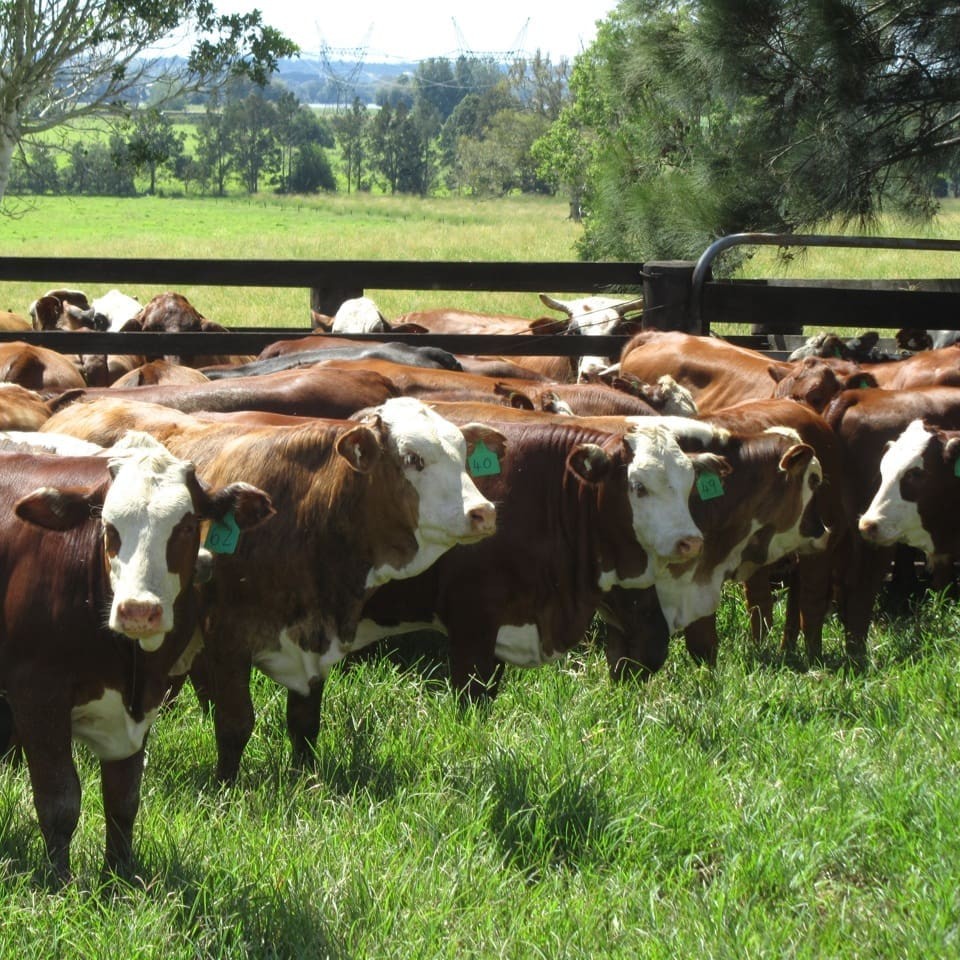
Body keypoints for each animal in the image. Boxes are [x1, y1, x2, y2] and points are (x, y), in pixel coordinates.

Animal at [0, 432, 278, 880]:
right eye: (108, 527)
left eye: (186, 526)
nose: (138, 610)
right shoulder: (36, 694)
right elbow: (59, 800)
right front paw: (59, 881)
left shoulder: (143, 702)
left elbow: (123, 799)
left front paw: (118, 876)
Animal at [39, 396, 502, 780]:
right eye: (412, 458)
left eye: (463, 454)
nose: (483, 512)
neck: (306, 515)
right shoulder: (227, 640)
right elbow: (235, 723)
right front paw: (225, 787)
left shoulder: (314, 640)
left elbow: (304, 722)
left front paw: (306, 777)